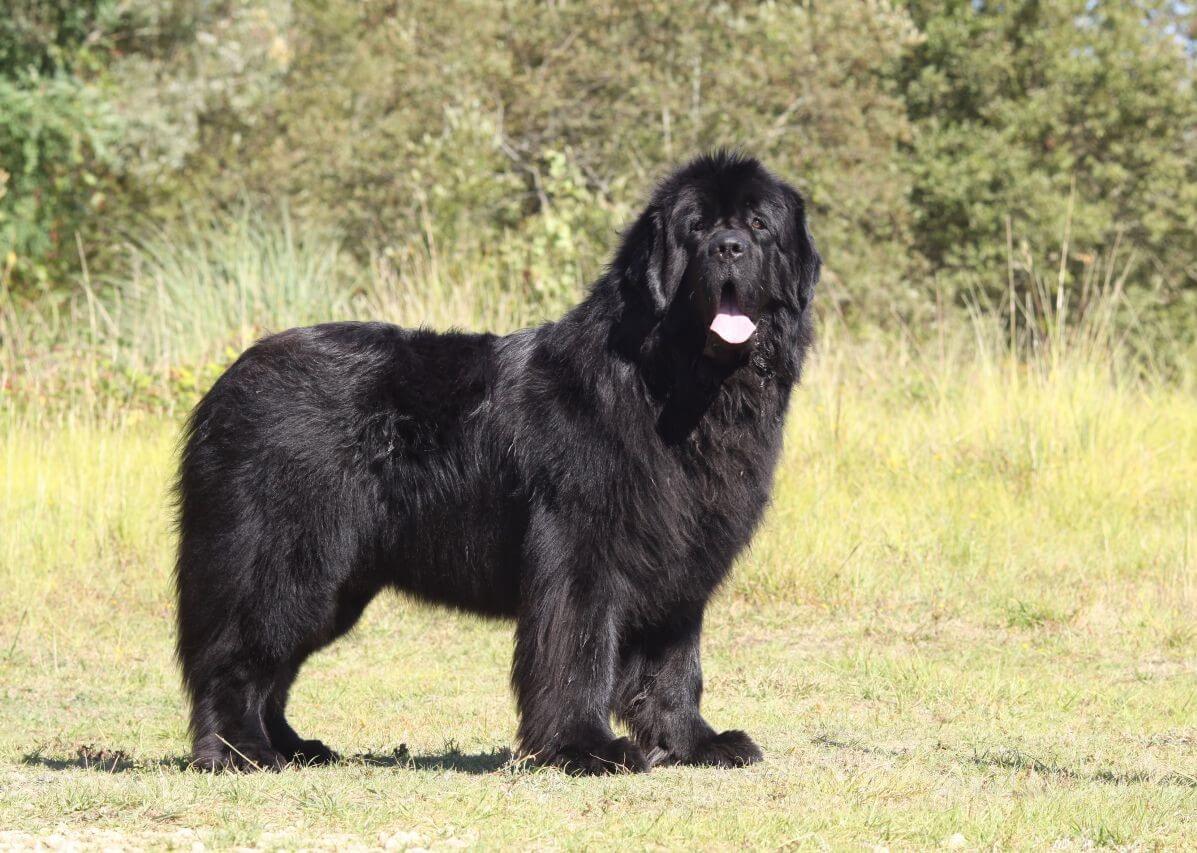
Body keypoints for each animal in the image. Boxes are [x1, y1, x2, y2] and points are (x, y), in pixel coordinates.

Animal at [173, 151, 818, 770]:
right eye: (697, 228)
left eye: (758, 226)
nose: (729, 247)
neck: (670, 384)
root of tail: (228, 381)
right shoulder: (583, 551)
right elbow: (577, 653)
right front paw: (584, 748)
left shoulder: (679, 561)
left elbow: (673, 667)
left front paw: (694, 743)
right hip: (283, 561)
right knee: (236, 658)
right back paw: (240, 751)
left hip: (337, 583)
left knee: (275, 672)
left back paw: (292, 747)